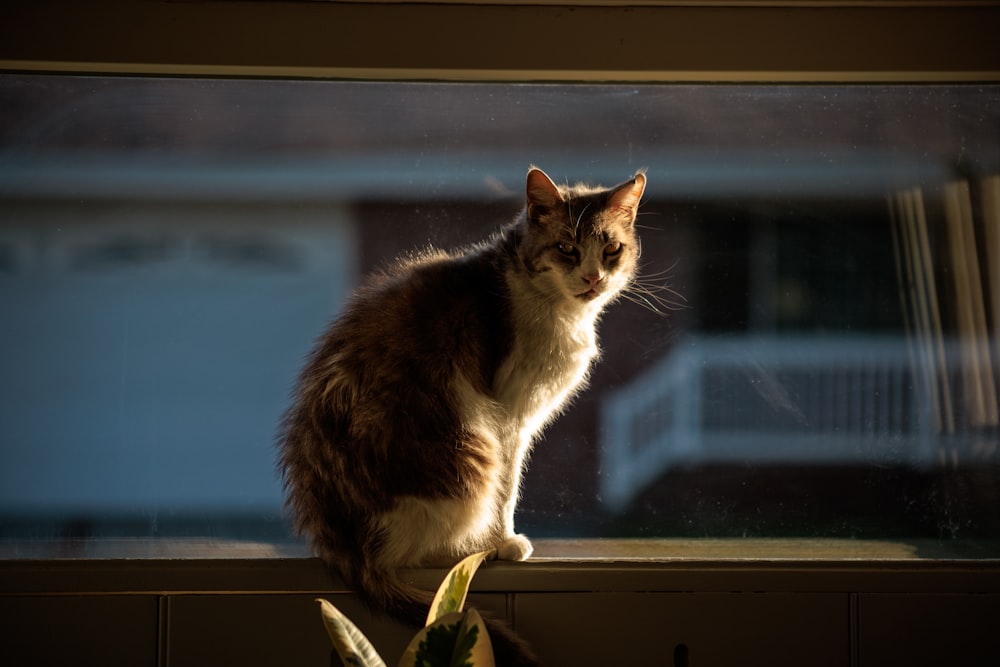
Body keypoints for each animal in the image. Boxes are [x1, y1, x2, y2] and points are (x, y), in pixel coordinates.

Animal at [280, 166, 648, 664]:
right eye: (566, 248)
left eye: (611, 249)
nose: (593, 278)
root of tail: (340, 542)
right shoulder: (510, 418)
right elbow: (508, 490)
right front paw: (503, 541)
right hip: (471, 453)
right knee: (408, 554)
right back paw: (471, 549)